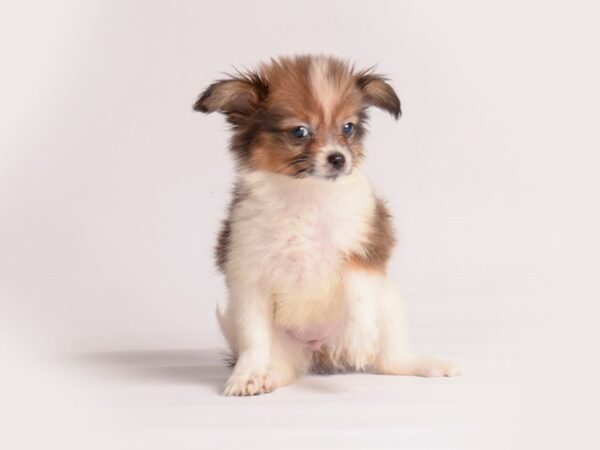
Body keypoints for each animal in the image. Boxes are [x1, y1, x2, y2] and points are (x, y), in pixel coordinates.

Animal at [192, 54, 460, 396]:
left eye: (348, 127)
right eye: (299, 132)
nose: (338, 158)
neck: (307, 195)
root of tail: (320, 351)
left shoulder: (365, 246)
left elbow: (358, 292)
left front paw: (358, 342)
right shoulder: (248, 274)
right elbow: (254, 336)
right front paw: (247, 375)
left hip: (389, 305)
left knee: (390, 358)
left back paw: (425, 364)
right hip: (282, 348)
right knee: (278, 364)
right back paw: (262, 377)